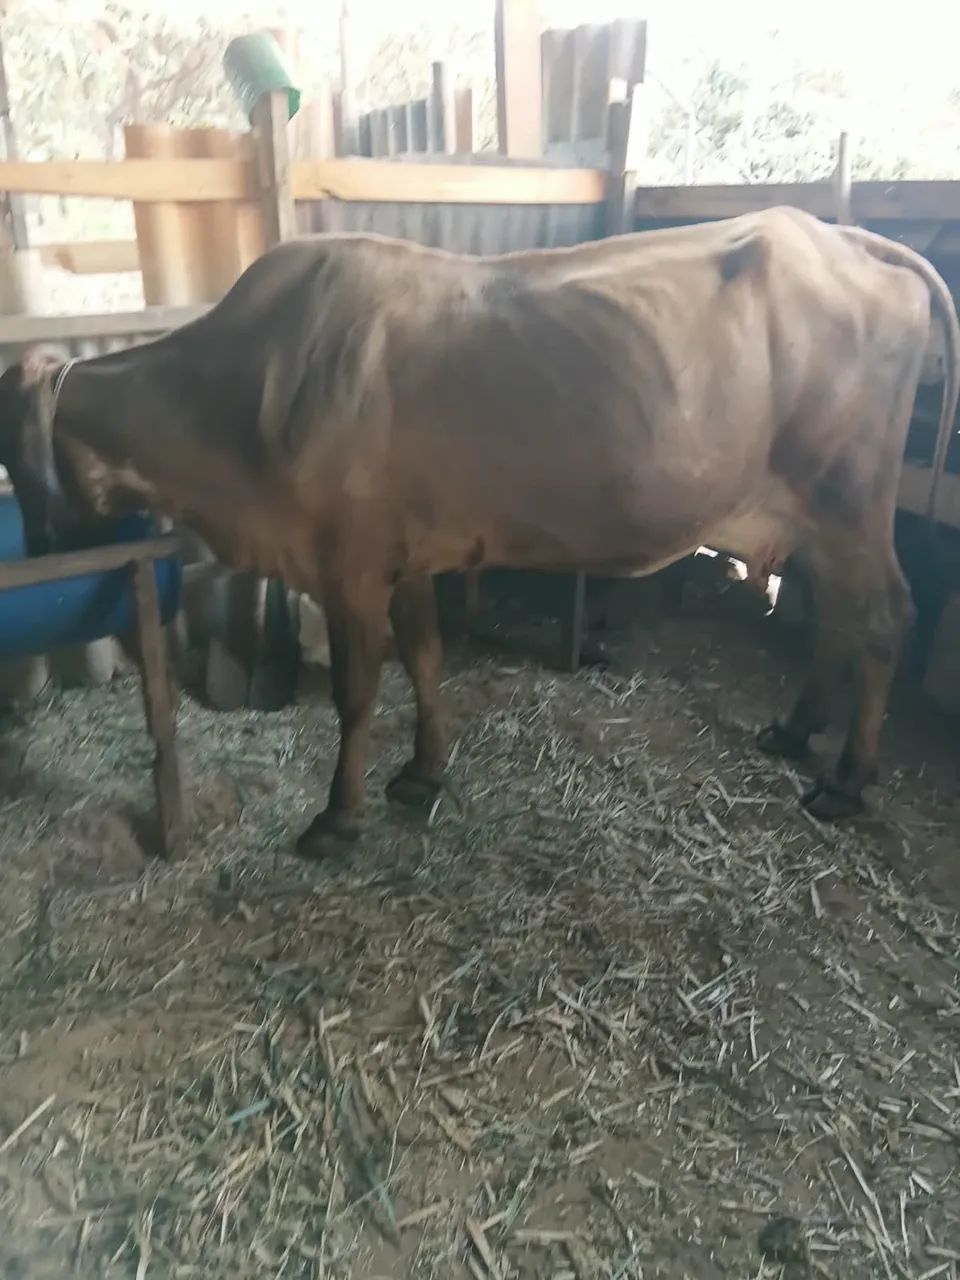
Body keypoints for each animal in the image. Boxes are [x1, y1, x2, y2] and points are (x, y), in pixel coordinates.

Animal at [0, 206, 957, 857]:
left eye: (12, 457)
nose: (41, 555)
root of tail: (845, 237)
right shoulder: (406, 555)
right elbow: (425, 659)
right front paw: (423, 772)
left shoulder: (348, 563)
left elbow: (357, 692)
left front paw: (336, 817)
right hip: (817, 513)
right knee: (838, 618)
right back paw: (795, 732)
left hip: (849, 496)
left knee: (885, 619)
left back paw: (846, 781)